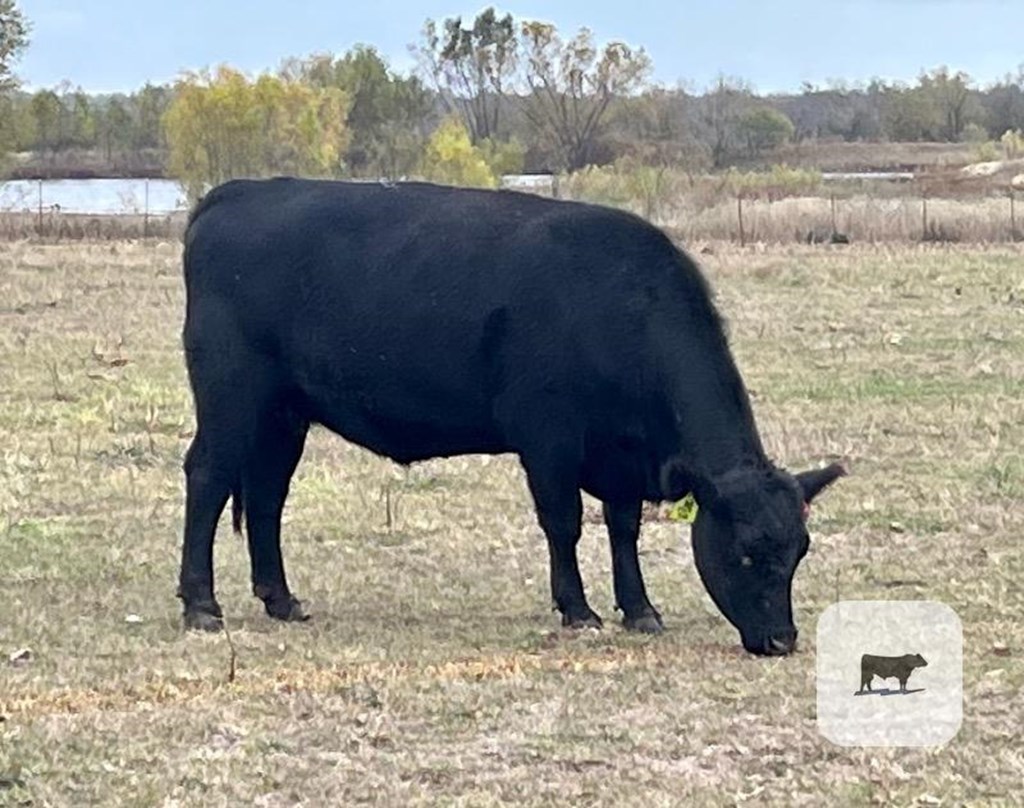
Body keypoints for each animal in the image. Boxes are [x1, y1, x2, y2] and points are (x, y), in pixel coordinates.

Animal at [178, 178, 847, 655]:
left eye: (800, 550)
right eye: (744, 553)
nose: (783, 640)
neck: (620, 305)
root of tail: (238, 191)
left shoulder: (621, 455)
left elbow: (623, 527)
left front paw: (640, 610)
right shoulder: (548, 438)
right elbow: (564, 523)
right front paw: (578, 610)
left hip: (283, 412)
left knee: (267, 496)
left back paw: (281, 599)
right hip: (231, 394)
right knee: (207, 478)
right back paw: (200, 606)